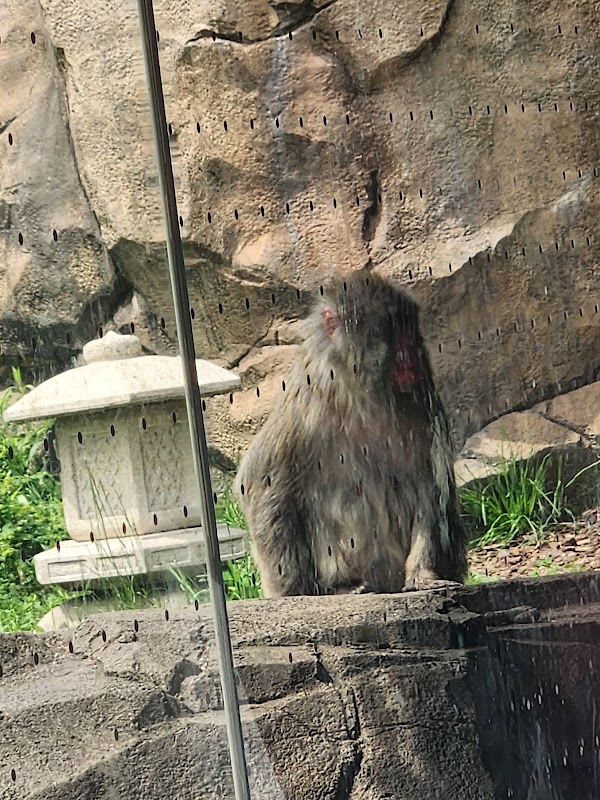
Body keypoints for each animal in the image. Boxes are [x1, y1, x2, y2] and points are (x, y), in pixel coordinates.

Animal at [233, 267, 468, 598]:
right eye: (392, 327)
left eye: (409, 327)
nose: (409, 352)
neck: (360, 389)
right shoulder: (306, 401)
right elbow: (261, 483)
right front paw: (290, 590)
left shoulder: (421, 398)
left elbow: (429, 485)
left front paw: (423, 575)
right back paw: (343, 585)